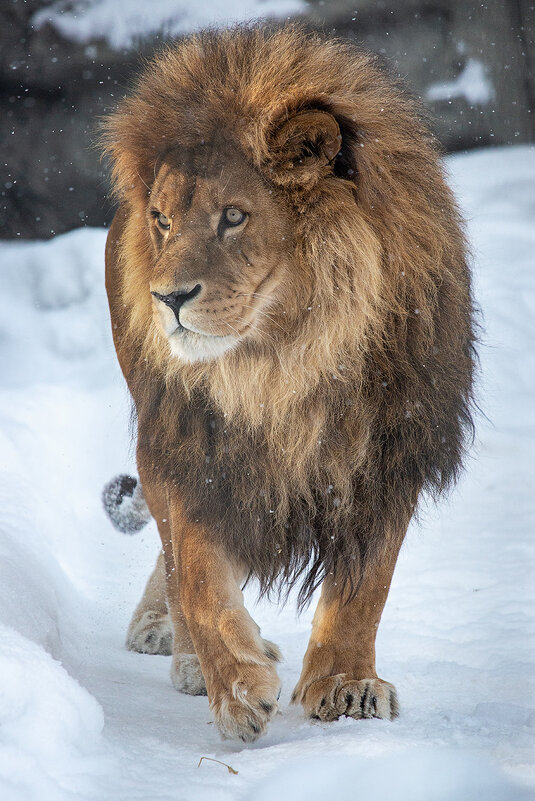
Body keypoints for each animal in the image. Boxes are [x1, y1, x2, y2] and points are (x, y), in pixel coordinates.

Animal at [101, 21, 478, 740]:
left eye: (233, 216)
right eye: (162, 219)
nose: (168, 298)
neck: (281, 357)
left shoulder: (387, 451)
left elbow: (364, 588)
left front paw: (345, 685)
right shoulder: (193, 445)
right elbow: (197, 572)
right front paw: (236, 686)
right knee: (171, 550)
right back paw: (184, 654)